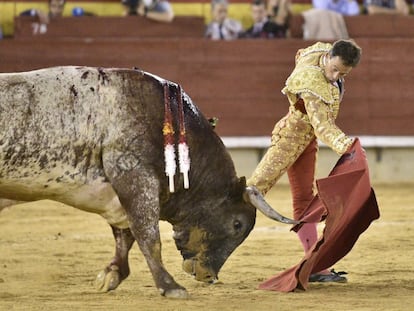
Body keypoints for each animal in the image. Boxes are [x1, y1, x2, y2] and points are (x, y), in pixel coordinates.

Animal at [0, 67, 298, 300]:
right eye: (237, 224)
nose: (209, 276)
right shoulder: (134, 176)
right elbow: (148, 235)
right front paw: (170, 286)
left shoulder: (119, 193)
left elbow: (126, 235)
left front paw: (112, 274)